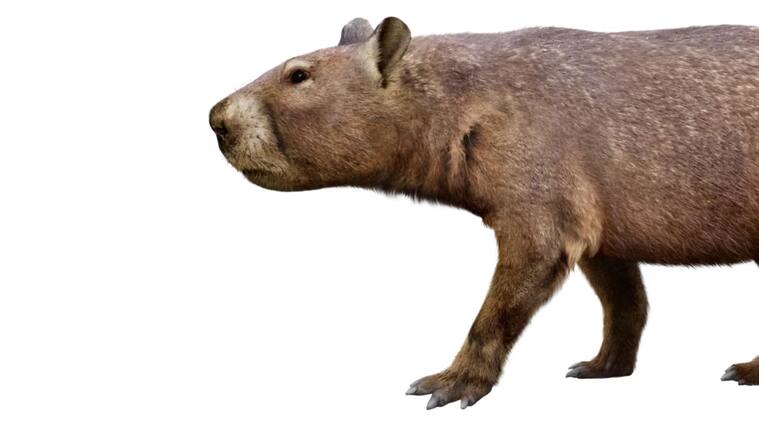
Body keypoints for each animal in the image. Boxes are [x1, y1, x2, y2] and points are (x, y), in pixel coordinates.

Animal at [209, 17, 759, 409]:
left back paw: (746, 371)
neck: (461, 96)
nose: (217, 119)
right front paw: (600, 365)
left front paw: (447, 384)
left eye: (298, 74)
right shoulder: (596, 201)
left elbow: (526, 268)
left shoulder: (537, 166)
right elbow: (620, 288)